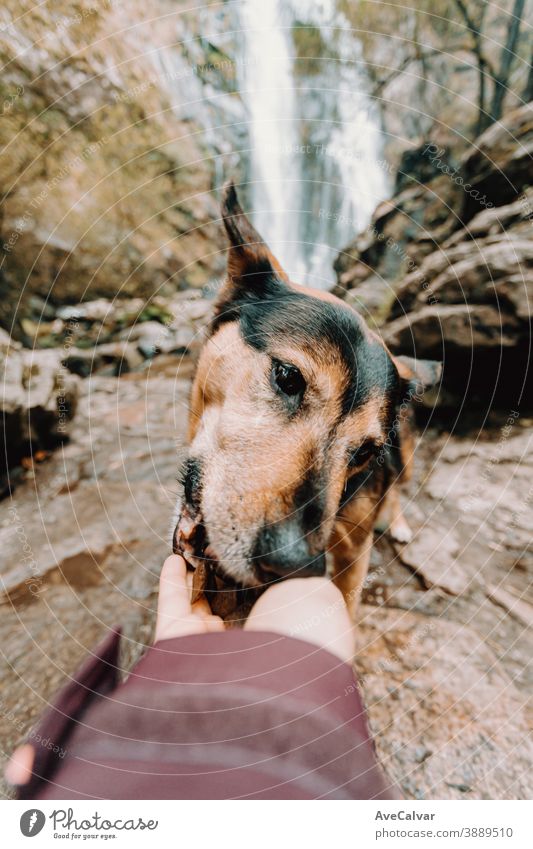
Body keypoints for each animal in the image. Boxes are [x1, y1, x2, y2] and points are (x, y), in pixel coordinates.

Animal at [171, 184, 440, 616]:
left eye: (364, 452)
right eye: (288, 377)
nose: (292, 566)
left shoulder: (353, 552)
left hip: (408, 459)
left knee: (398, 485)